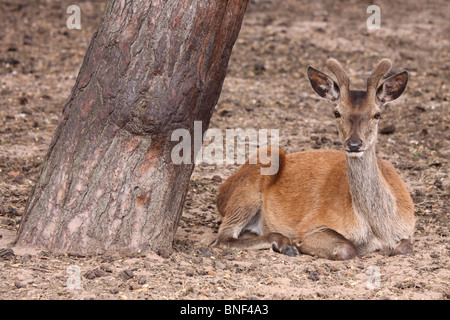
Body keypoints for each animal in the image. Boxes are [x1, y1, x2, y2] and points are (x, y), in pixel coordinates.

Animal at [213, 58, 416, 260]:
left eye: (377, 114)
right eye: (337, 112)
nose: (354, 144)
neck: (379, 229)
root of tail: (221, 192)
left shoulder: (408, 230)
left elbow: (404, 247)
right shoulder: (311, 224)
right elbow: (347, 247)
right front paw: (299, 244)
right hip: (256, 176)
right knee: (223, 237)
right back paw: (286, 244)